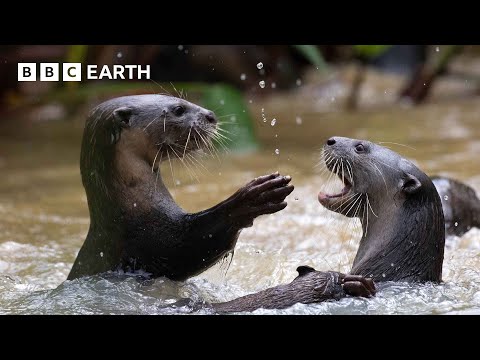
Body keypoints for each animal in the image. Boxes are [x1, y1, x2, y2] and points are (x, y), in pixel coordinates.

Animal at [65, 95, 294, 282]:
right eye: (178, 109)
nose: (211, 116)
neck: (130, 206)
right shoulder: (150, 242)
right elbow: (187, 251)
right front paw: (252, 198)